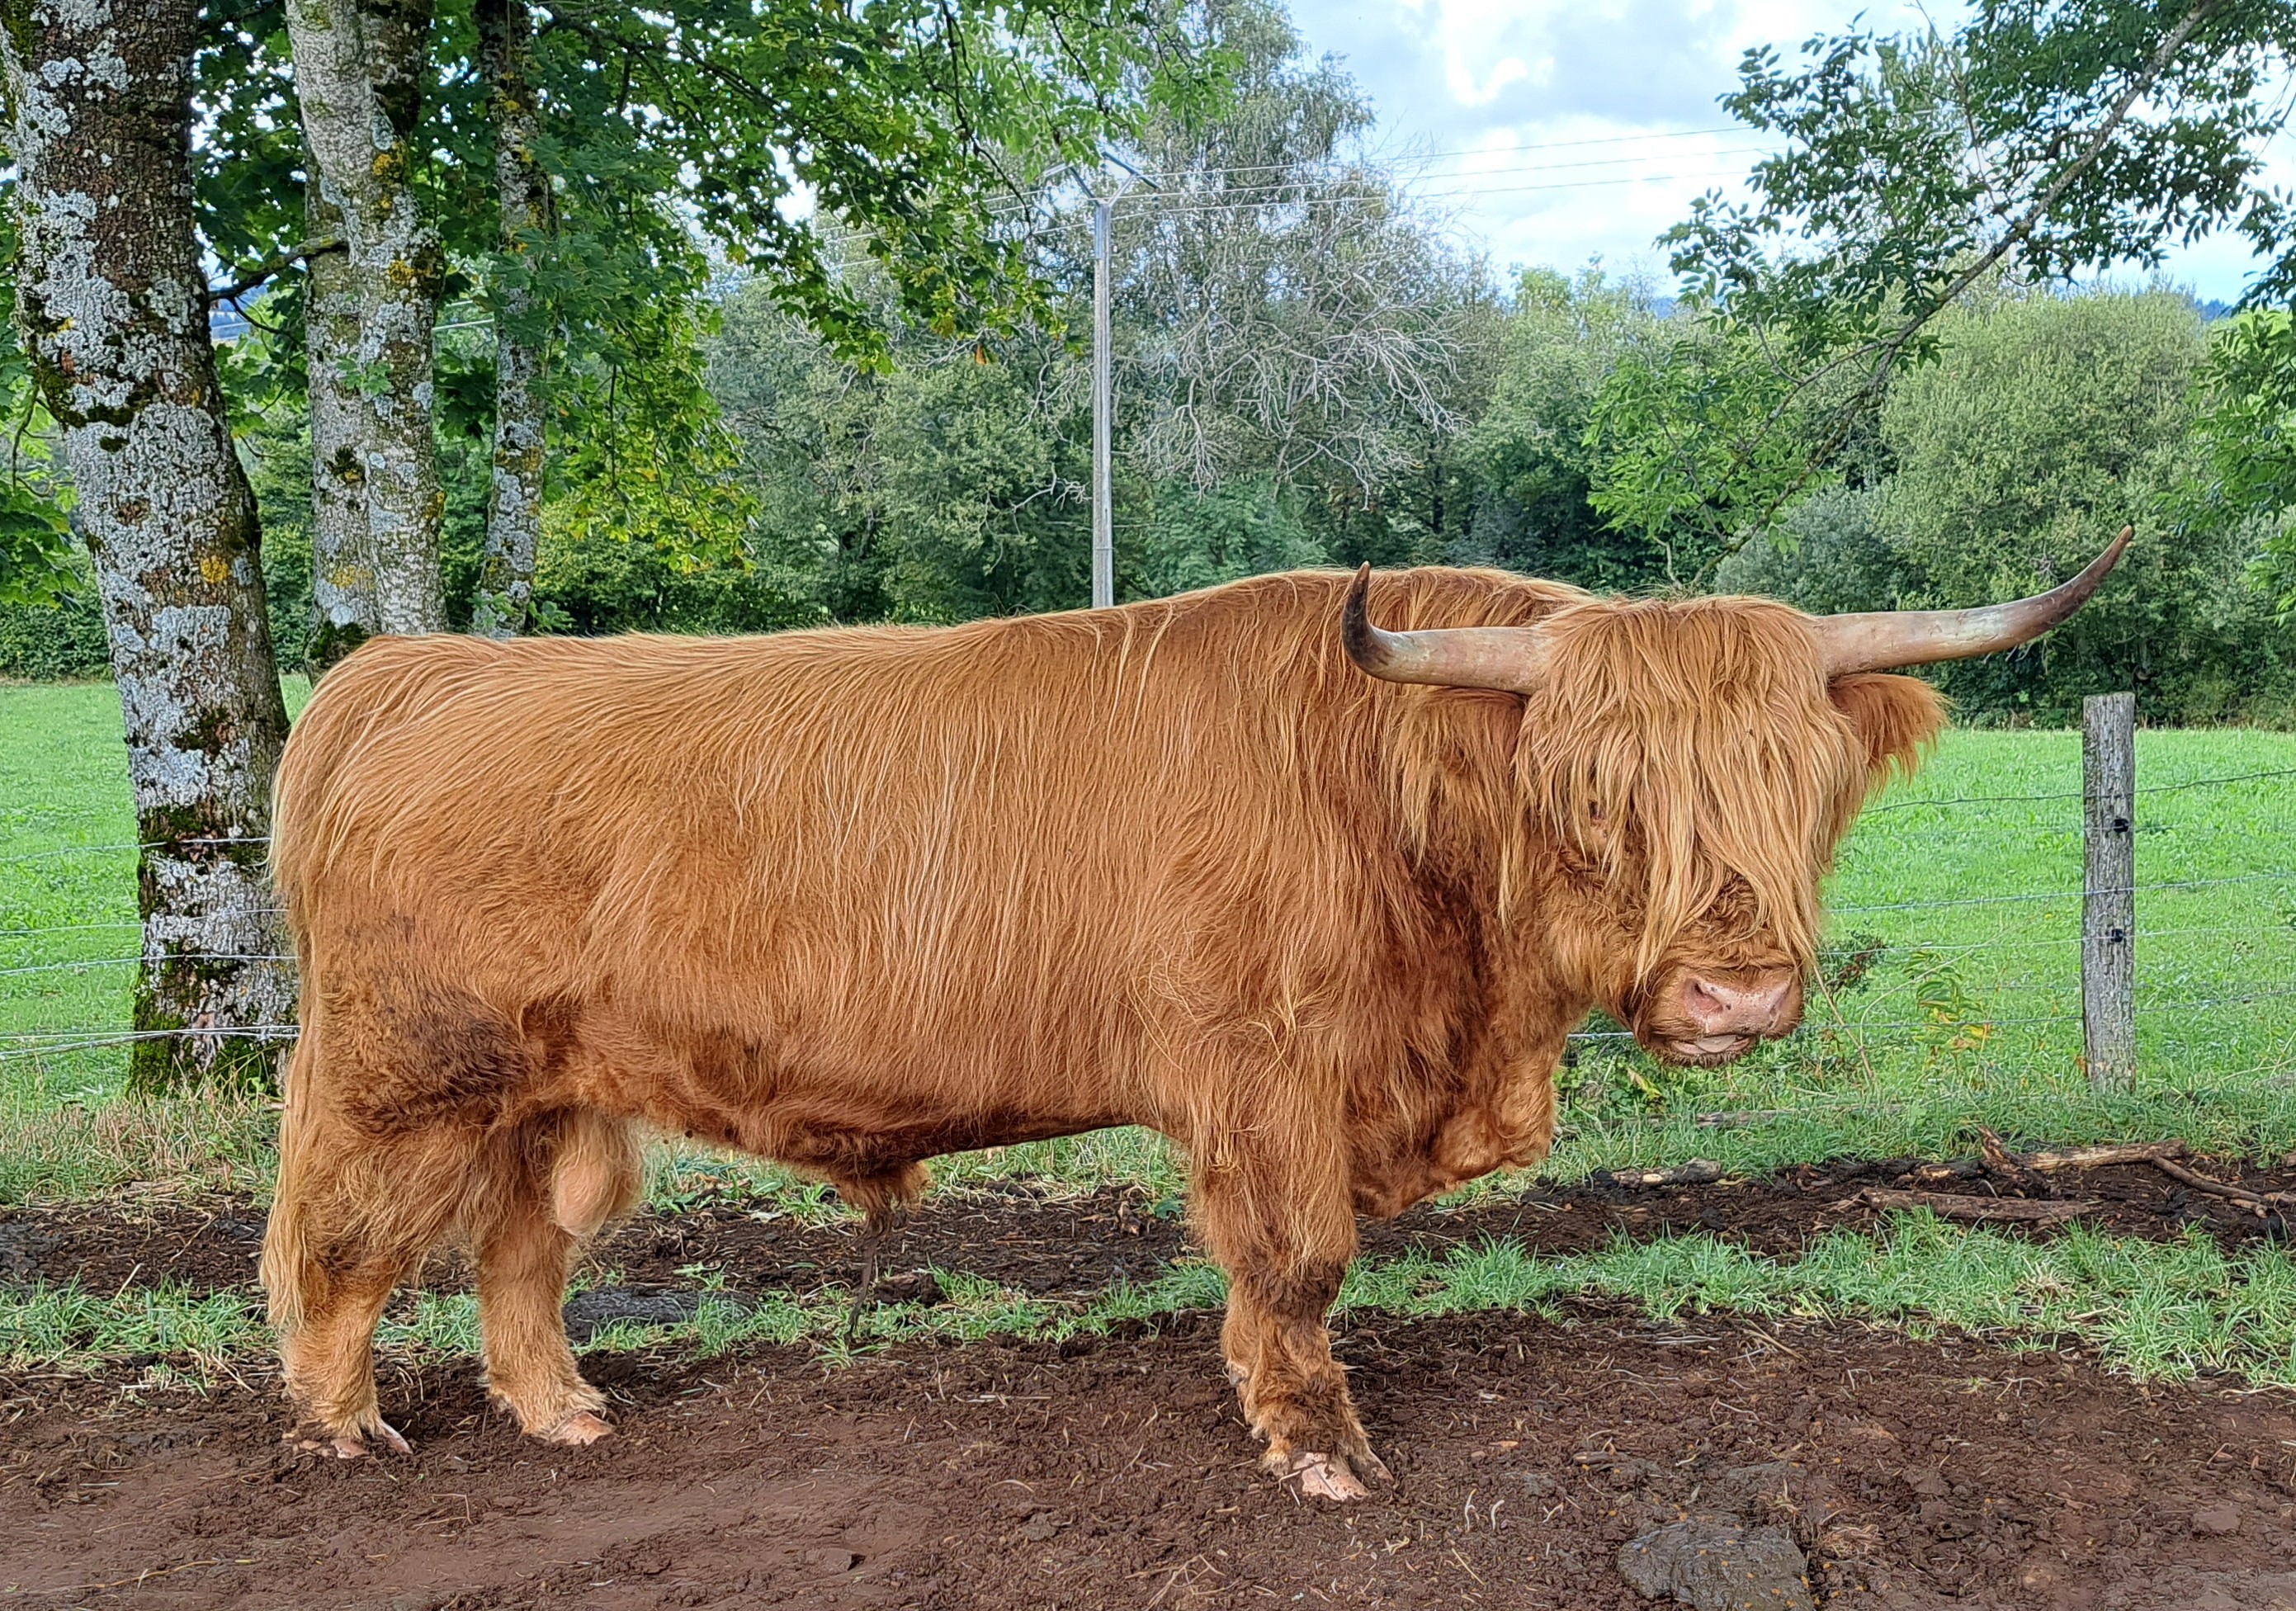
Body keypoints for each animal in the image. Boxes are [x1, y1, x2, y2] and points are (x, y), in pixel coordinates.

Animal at [260, 536, 2121, 1505]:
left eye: (1798, 783)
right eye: (1593, 793)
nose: (1738, 990)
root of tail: (420, 668)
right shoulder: (1264, 1072)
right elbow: (1293, 1258)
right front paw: (1314, 1440)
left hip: (544, 1086)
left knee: (521, 1246)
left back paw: (558, 1406)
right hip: (407, 1067)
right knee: (340, 1245)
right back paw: (346, 1422)